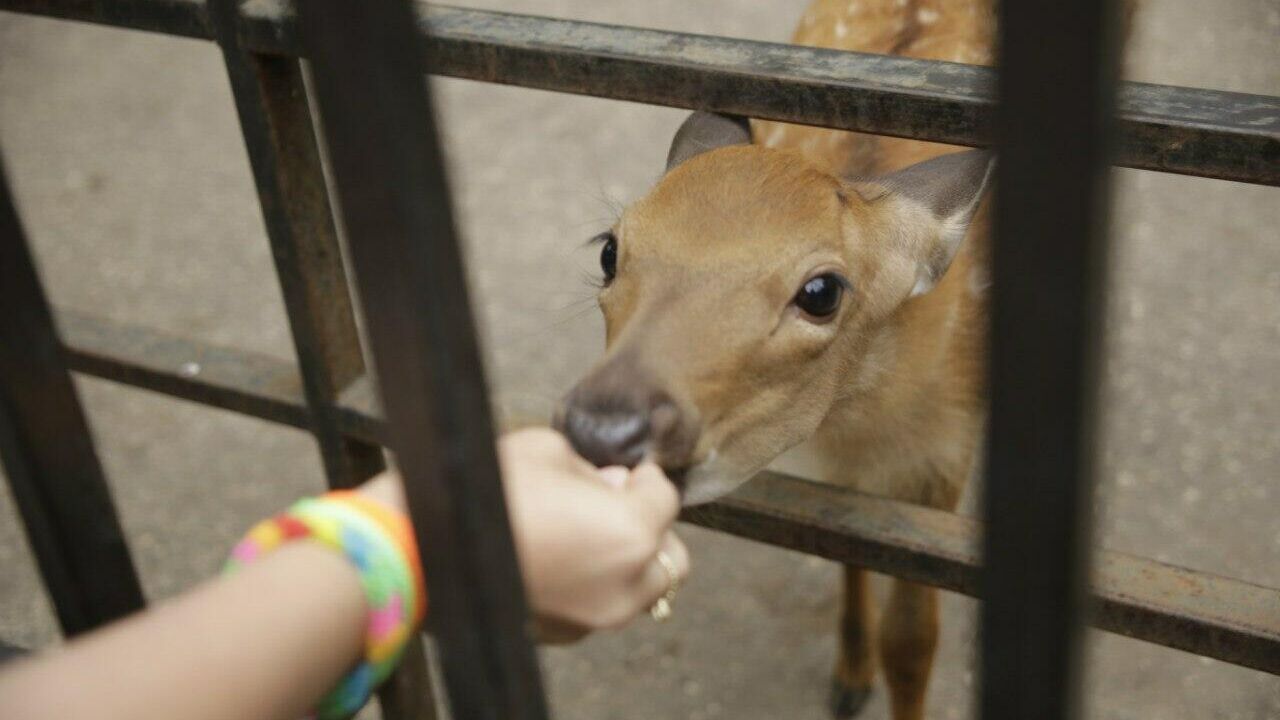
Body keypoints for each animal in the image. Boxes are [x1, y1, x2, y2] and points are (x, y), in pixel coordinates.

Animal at [552, 0, 1141, 712]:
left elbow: (912, 641)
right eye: (610, 250)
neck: (869, 427)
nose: (601, 426)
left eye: (821, 291)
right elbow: (848, 549)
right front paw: (849, 678)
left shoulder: (944, 457)